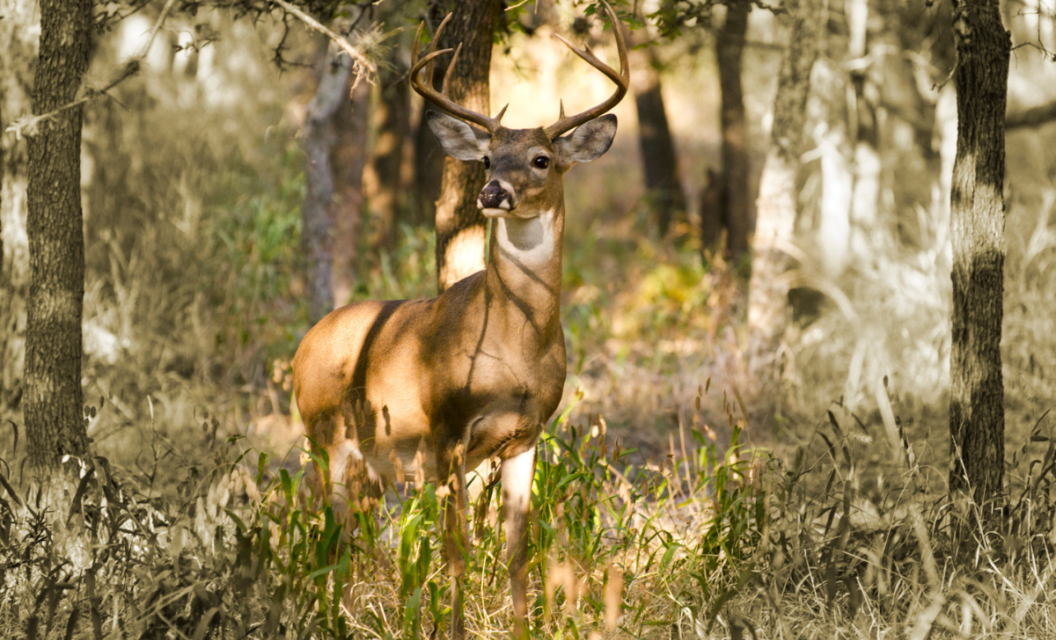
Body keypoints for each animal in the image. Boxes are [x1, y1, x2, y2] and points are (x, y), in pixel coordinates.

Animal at [289, 3, 625, 637]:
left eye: (542, 160)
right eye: (488, 158)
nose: (492, 192)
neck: (518, 349)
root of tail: (301, 345)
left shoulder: (526, 434)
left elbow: (518, 551)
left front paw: (522, 627)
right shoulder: (446, 429)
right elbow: (457, 551)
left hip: (372, 460)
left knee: (351, 540)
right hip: (325, 435)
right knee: (326, 539)